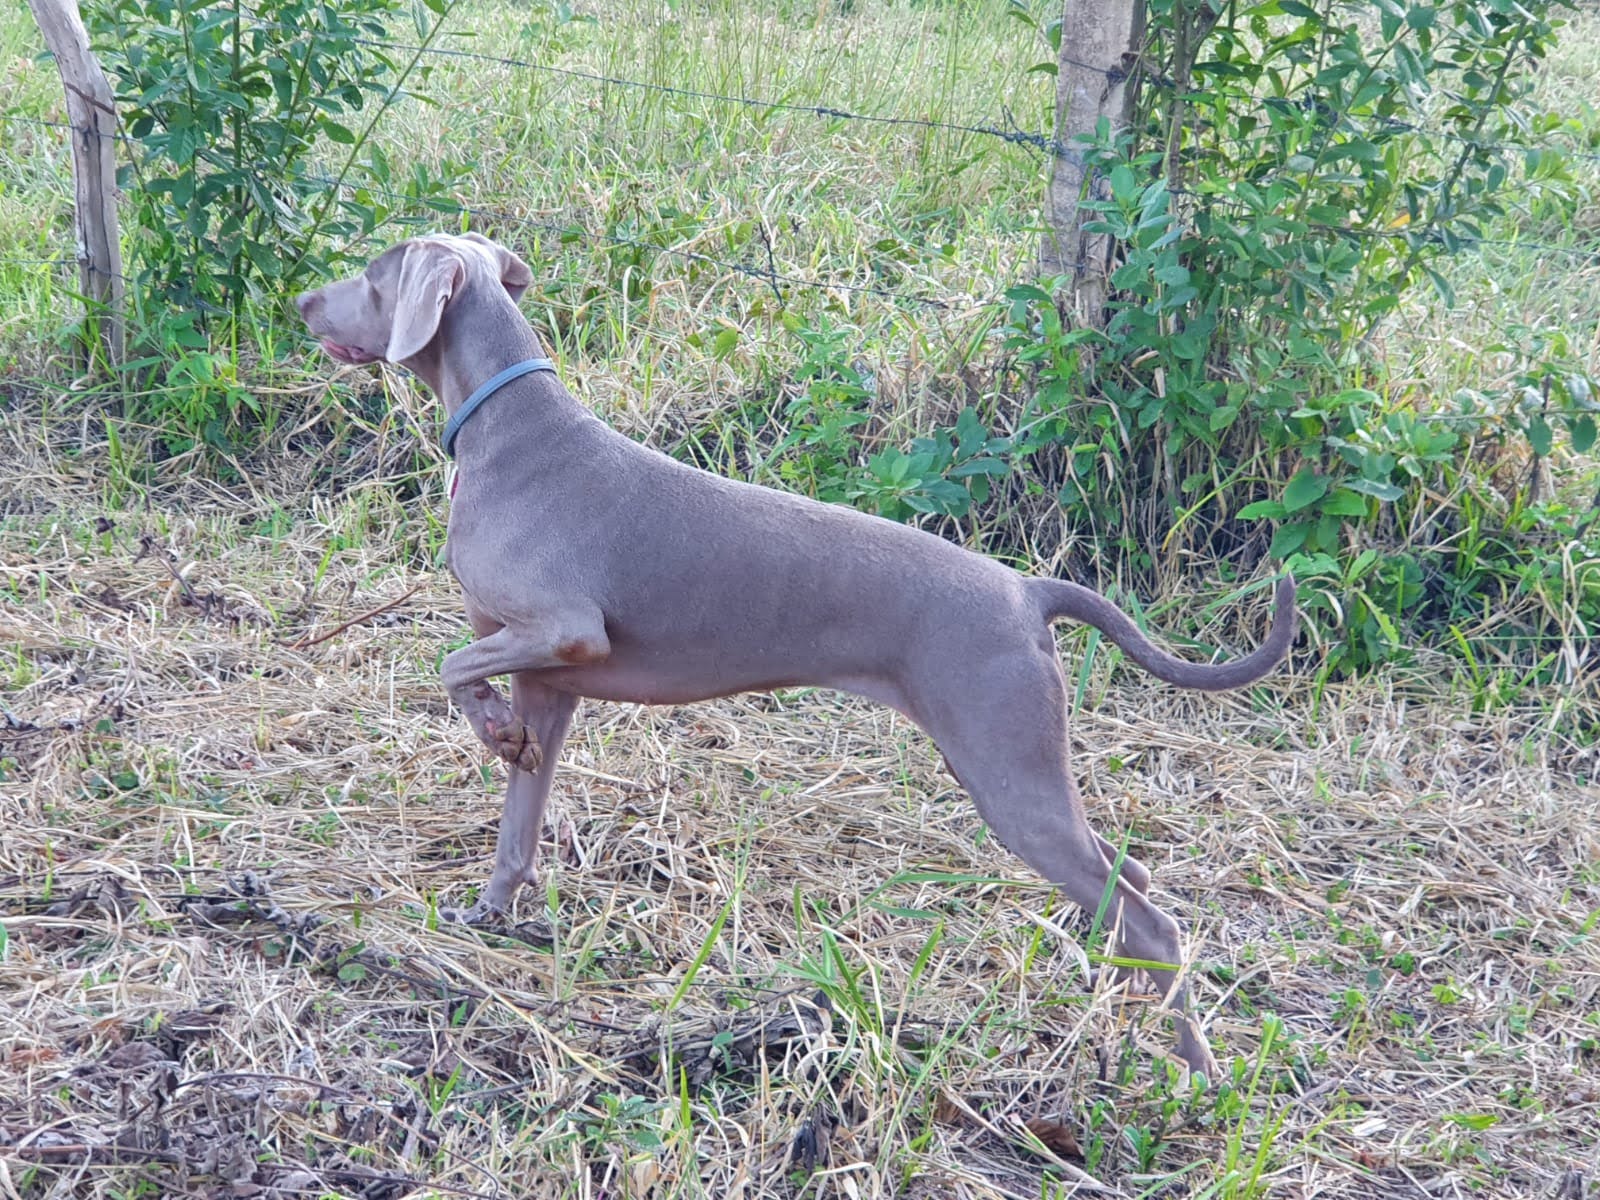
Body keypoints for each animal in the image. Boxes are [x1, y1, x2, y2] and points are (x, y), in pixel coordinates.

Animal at [297, 230, 1299, 1075]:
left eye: (374, 277)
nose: (305, 299)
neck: (506, 427)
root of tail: (1026, 591)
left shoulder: (567, 630)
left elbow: (452, 669)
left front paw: (492, 733)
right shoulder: (552, 677)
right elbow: (519, 810)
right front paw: (494, 903)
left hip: (1007, 766)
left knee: (1151, 918)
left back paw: (1195, 1071)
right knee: (1128, 883)